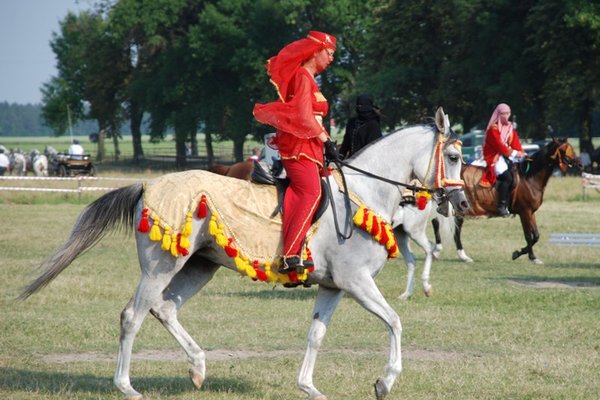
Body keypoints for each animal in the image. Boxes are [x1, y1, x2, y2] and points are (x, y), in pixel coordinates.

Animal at [18, 108, 468, 400]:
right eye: (453, 156)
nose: (462, 203)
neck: (361, 195)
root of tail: (148, 187)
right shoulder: (356, 283)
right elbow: (395, 321)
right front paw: (385, 381)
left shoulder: (334, 287)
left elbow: (316, 335)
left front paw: (308, 386)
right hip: (161, 267)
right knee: (133, 315)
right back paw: (126, 386)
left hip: (199, 266)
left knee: (164, 309)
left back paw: (198, 368)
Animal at [436, 138, 580, 266]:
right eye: (565, 150)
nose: (580, 164)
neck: (529, 178)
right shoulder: (525, 212)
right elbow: (529, 236)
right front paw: (519, 254)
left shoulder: (530, 212)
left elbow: (535, 235)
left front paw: (532, 257)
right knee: (439, 224)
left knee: (454, 229)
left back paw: (461, 256)